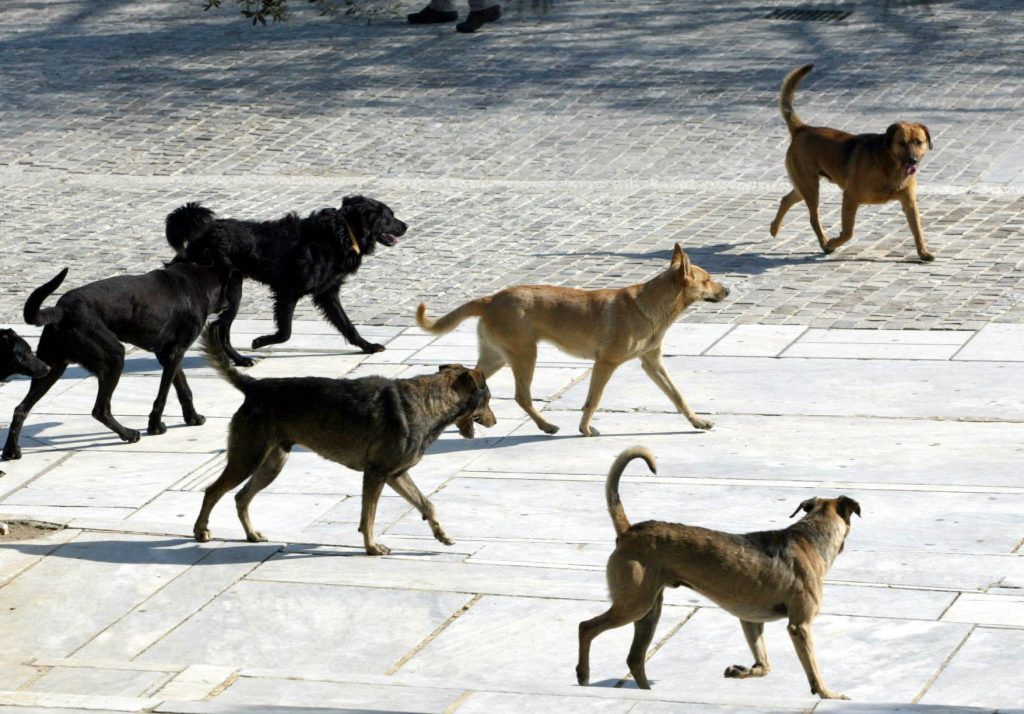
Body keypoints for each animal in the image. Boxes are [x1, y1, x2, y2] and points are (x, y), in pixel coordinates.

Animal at [2, 262, 229, 463]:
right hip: (114, 358)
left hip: (48, 368)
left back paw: (11, 452)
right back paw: (128, 434)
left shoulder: (168, 355)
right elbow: (163, 396)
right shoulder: (174, 354)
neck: (195, 282)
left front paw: (192, 418)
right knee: (100, 410)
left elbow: (183, 389)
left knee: (21, 409)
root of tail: (61, 310)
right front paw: (155, 427)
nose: (229, 303)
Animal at [193, 319, 497, 553]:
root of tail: (254, 386)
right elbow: (369, 515)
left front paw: (441, 534)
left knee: (241, 497)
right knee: (213, 490)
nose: (495, 421)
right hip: (248, 457)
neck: (431, 400)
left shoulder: (395, 475)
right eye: (489, 399)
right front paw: (372, 547)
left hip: (272, 463)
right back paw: (201, 530)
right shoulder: (376, 474)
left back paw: (251, 534)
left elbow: (427, 504)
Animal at [415, 243, 729, 434]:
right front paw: (585, 429)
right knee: (522, 396)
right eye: (708, 279)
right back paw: (546, 426)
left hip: (496, 358)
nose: (728, 290)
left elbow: (677, 396)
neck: (650, 305)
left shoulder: (652, 363)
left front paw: (698, 421)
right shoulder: (605, 364)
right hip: (524, 356)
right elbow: (593, 400)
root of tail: (491, 299)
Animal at [577, 448, 856, 700]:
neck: (811, 536)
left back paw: (644, 691)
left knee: (634, 658)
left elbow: (764, 665)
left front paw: (741, 670)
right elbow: (814, 670)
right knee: (586, 628)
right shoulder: (800, 626)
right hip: (634, 604)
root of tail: (628, 532)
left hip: (649, 610)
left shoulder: (751, 620)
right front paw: (828, 695)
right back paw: (583, 675)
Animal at [770, 63, 933, 259]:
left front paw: (923, 252)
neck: (891, 165)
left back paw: (774, 228)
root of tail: (803, 129)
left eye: (919, 142)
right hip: (811, 187)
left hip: (804, 185)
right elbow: (848, 232)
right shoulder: (850, 197)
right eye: (901, 143)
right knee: (813, 218)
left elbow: (918, 231)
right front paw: (833, 242)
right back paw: (825, 243)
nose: (913, 160)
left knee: (786, 199)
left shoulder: (909, 203)